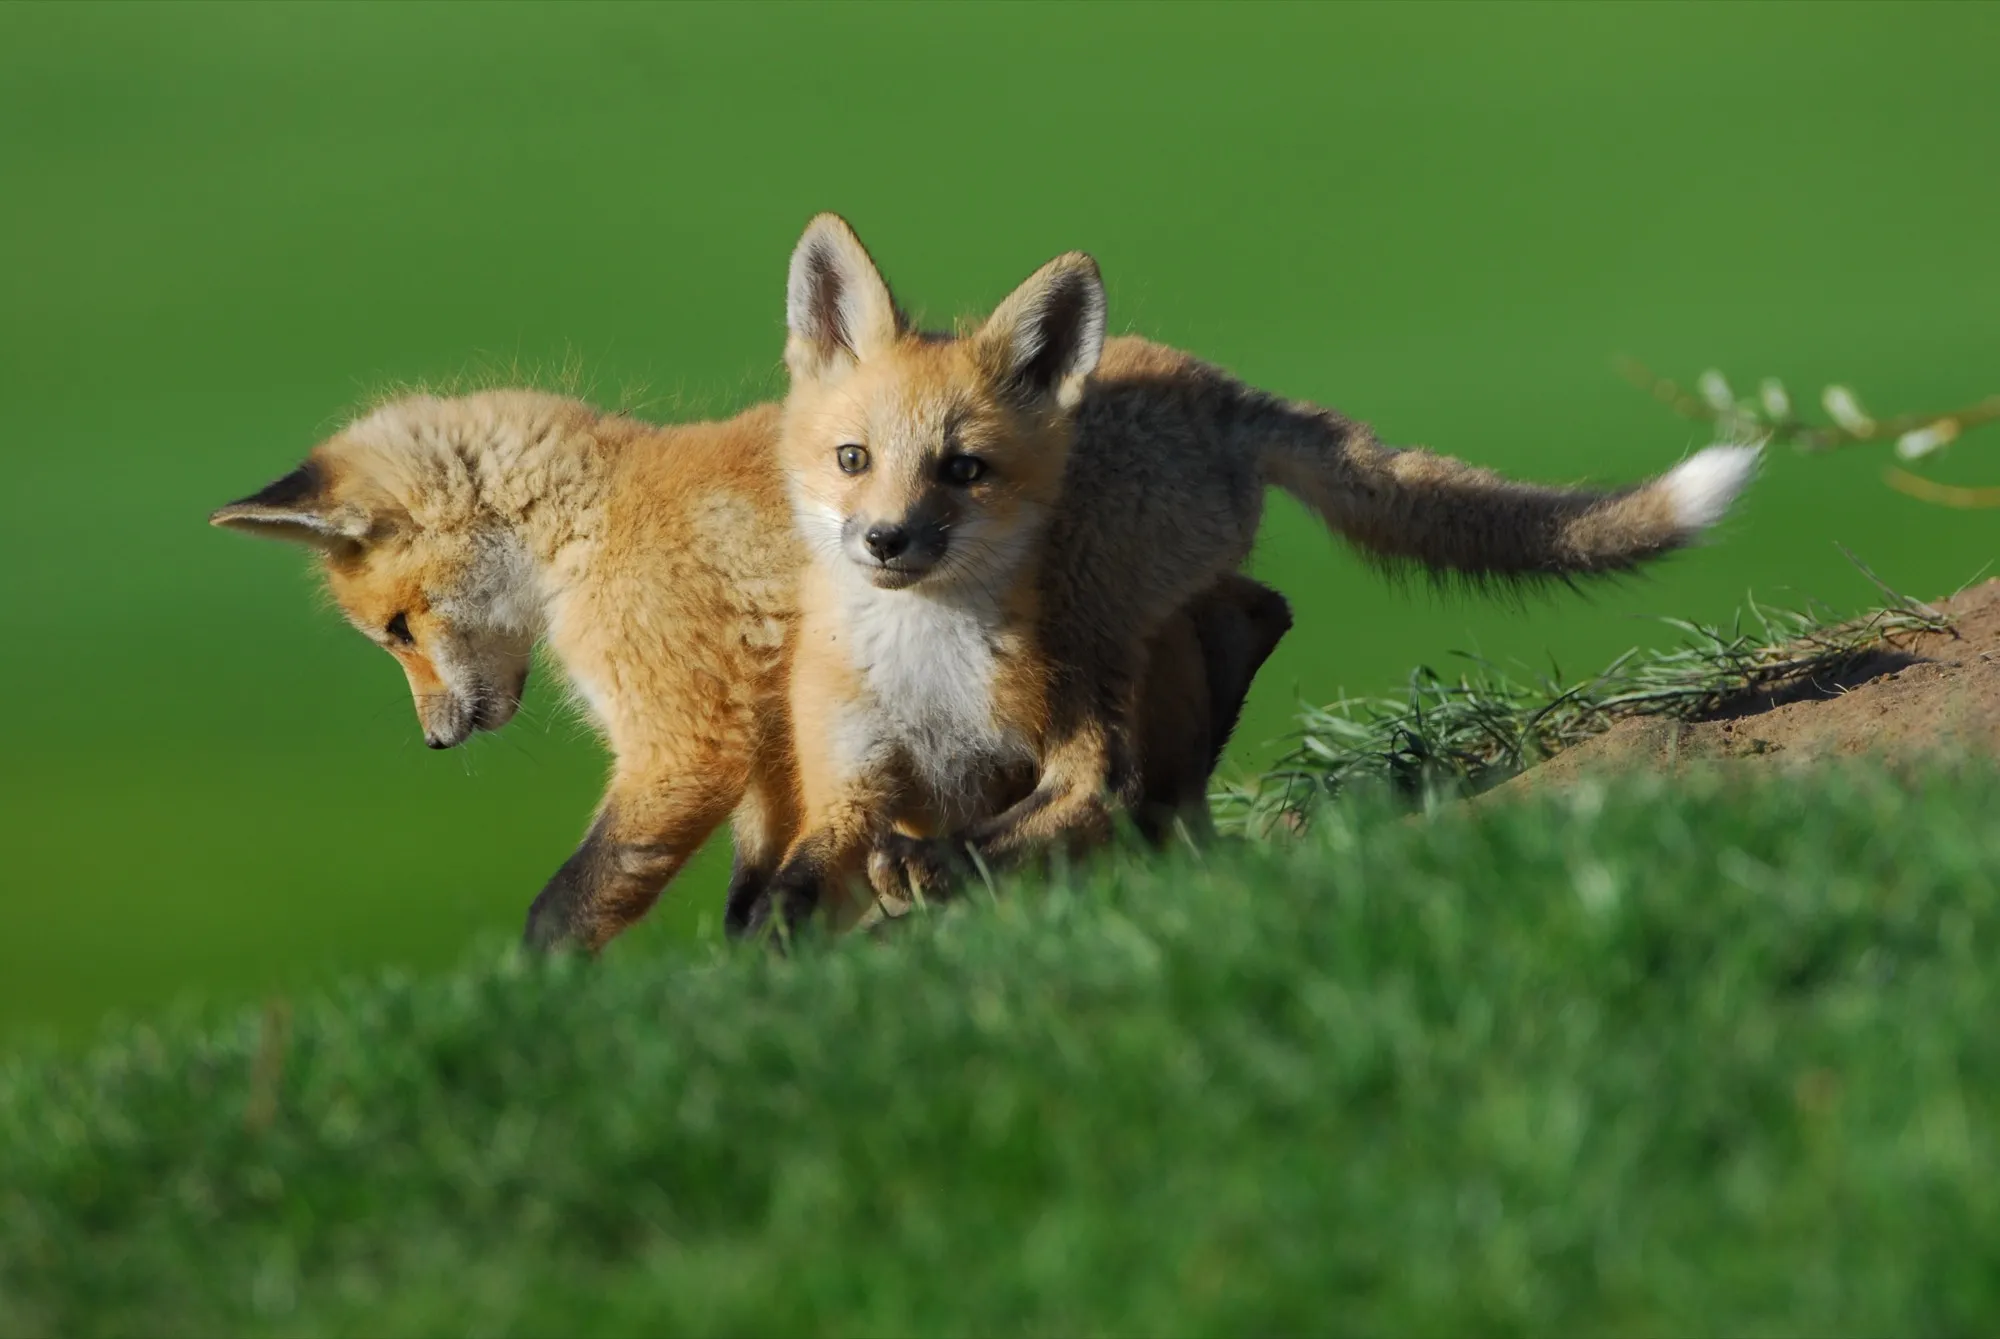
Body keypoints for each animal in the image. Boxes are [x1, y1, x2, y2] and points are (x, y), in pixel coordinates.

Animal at [209, 390, 1293, 951]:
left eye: (396, 629)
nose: (436, 740)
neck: (590, 521)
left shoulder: (689, 738)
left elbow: (566, 905)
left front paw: (531, 1002)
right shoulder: (777, 745)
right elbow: (752, 894)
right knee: (1254, 617)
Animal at [745, 213, 1762, 931]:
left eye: (963, 470)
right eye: (852, 459)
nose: (887, 541)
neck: (928, 664)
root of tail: (1220, 387)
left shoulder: (1039, 727)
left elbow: (1061, 802)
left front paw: (943, 869)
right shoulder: (851, 775)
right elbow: (796, 879)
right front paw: (773, 946)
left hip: (1093, 610)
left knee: (1138, 747)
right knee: (1246, 615)